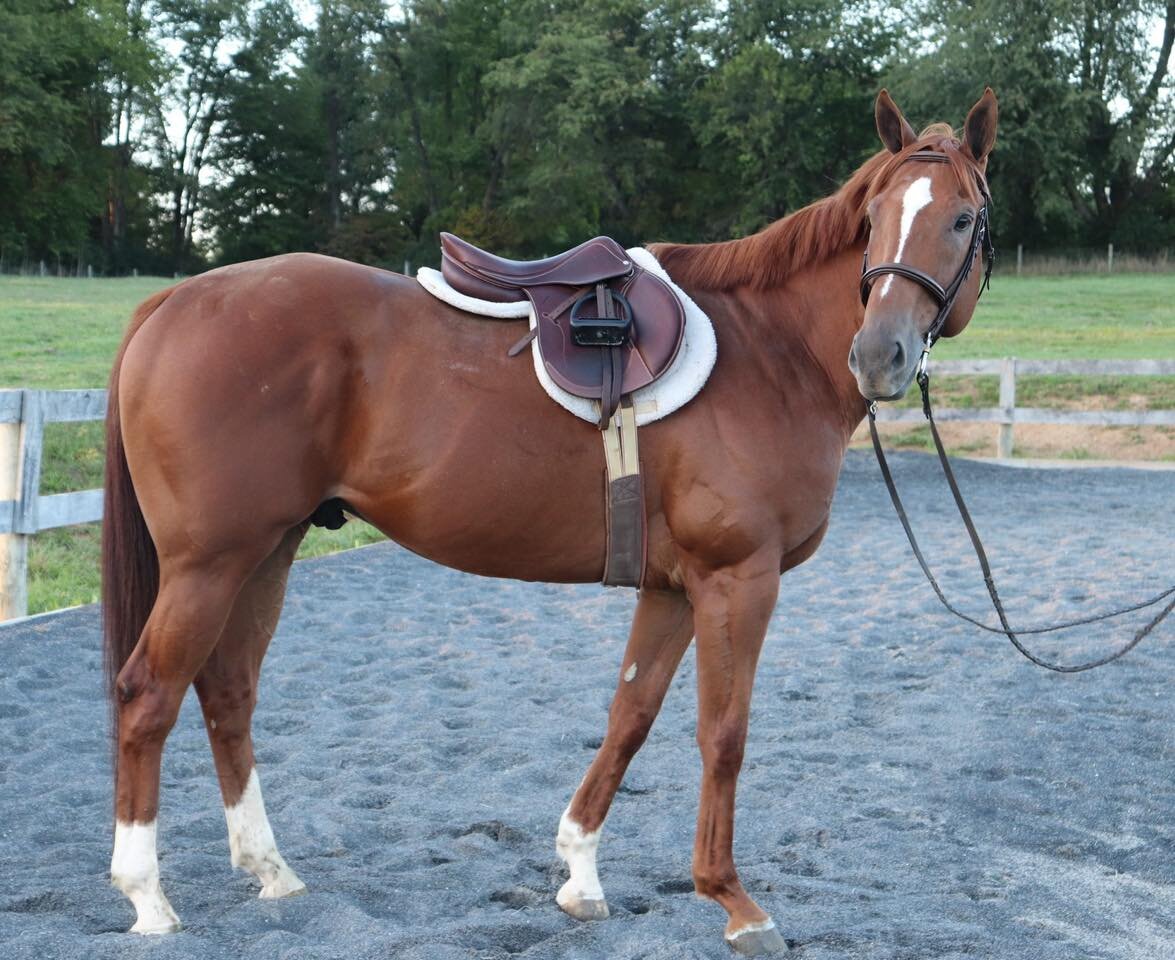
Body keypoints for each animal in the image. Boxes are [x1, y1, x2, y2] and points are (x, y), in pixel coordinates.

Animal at [101, 87, 998, 955]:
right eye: (873, 216)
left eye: (961, 218)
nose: (878, 355)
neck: (768, 351)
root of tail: (172, 300)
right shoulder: (736, 579)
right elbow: (723, 733)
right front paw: (734, 903)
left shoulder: (673, 587)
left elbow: (630, 716)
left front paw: (580, 874)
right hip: (210, 563)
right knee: (149, 694)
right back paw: (147, 897)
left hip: (267, 552)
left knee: (227, 690)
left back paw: (271, 871)